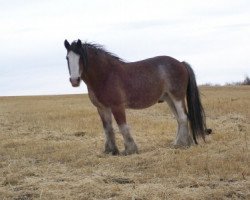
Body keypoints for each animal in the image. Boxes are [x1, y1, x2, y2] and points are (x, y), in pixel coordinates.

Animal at [64, 38, 209, 155]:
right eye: (67, 58)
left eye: (81, 58)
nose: (74, 80)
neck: (106, 75)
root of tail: (181, 63)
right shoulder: (102, 108)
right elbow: (108, 129)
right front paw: (111, 151)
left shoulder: (117, 106)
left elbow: (123, 127)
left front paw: (130, 149)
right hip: (169, 99)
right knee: (180, 119)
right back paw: (183, 143)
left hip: (177, 97)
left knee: (183, 117)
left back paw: (180, 144)